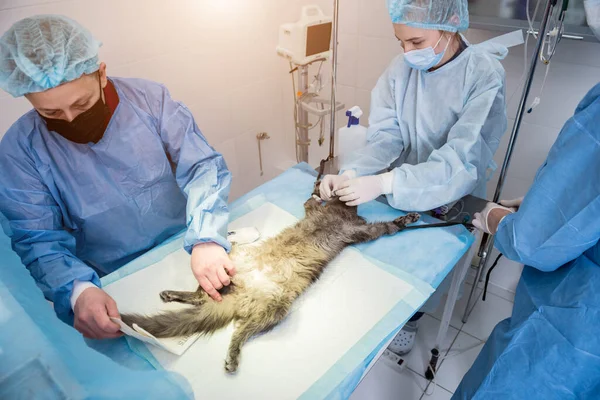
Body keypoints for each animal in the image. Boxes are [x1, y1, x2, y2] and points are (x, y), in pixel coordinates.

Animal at [120, 192, 422, 374]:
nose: (341, 192)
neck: (340, 214)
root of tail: (234, 296)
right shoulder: (340, 222)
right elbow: (317, 204)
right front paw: (319, 187)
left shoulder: (354, 228)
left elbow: (384, 225)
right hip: (232, 267)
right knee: (227, 320)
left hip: (268, 303)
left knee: (221, 314)